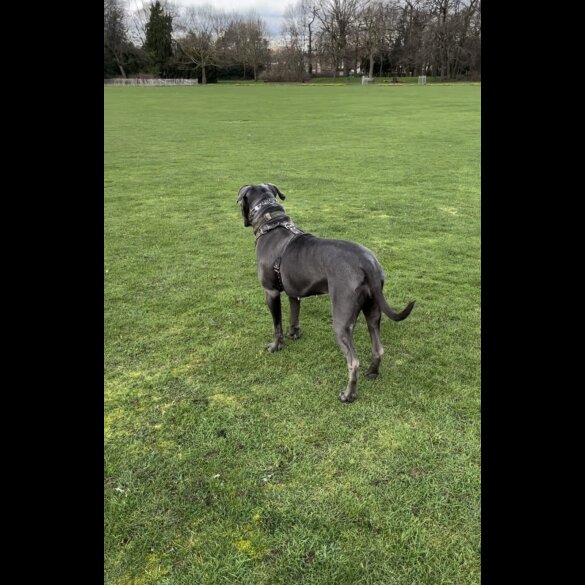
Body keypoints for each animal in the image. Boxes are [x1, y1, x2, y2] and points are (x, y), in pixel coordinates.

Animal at [235, 182, 412, 402]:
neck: (271, 222)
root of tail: (367, 263)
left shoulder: (271, 292)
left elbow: (277, 324)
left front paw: (275, 346)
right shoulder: (294, 292)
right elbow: (294, 315)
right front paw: (294, 334)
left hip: (341, 320)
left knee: (353, 361)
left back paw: (348, 395)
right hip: (373, 310)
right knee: (378, 347)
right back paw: (372, 372)